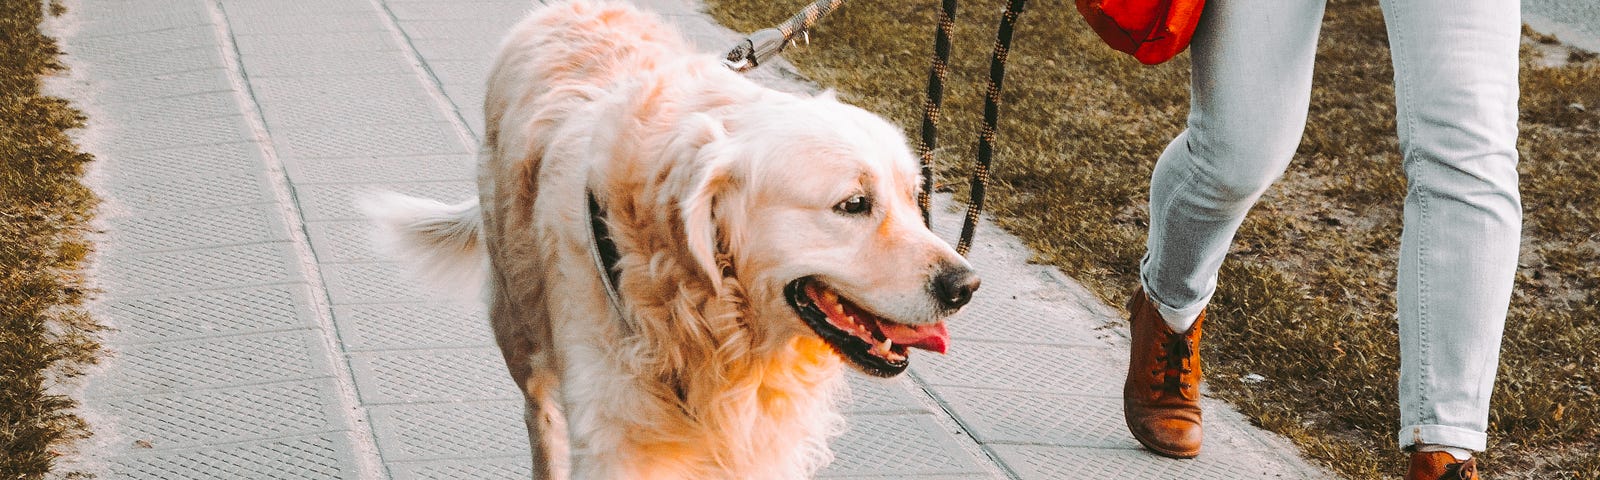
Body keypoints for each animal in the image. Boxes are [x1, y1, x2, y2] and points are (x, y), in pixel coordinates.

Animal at [364, 1, 979, 476]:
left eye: (915, 198)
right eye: (853, 204)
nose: (966, 285)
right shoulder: (616, 435)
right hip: (518, 322)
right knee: (541, 418)